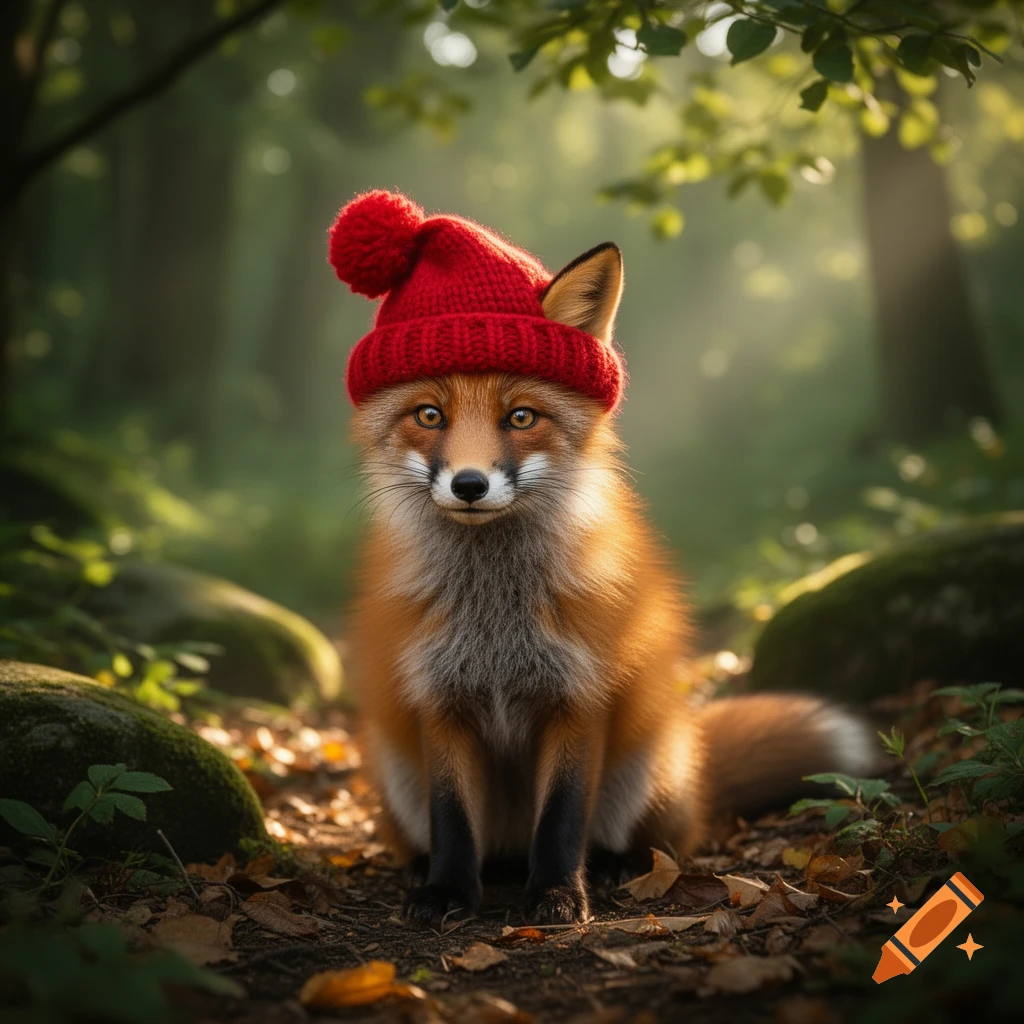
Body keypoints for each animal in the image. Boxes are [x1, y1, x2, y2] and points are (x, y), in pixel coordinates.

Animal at [341, 207, 875, 929]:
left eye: (521, 417)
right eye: (430, 414)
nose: (470, 484)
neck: (496, 620)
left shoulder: (581, 698)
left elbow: (564, 819)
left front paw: (559, 895)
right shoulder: (441, 701)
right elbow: (452, 818)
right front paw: (448, 890)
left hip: (643, 771)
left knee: (654, 840)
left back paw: (618, 867)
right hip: (397, 770)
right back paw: (433, 869)